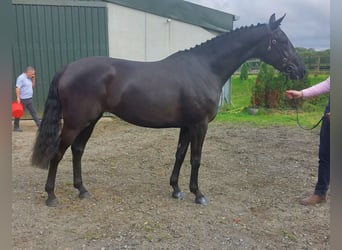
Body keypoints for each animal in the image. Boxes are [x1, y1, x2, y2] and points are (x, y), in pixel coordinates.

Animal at [31, 13, 304, 206]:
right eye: (281, 40)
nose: (300, 70)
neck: (205, 68)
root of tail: (67, 68)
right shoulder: (199, 125)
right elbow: (196, 159)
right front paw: (198, 194)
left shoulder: (186, 125)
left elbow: (180, 155)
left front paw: (176, 190)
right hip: (76, 122)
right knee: (58, 153)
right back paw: (51, 196)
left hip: (91, 120)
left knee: (77, 151)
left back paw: (83, 190)